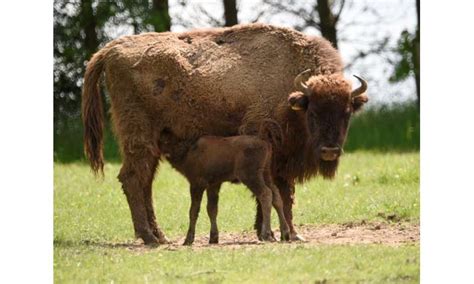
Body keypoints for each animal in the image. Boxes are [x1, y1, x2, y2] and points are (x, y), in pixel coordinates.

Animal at [158, 129, 288, 244]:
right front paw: (213, 238)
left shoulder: (197, 183)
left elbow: (194, 210)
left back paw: (266, 235)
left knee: (265, 194)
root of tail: (266, 144)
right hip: (266, 173)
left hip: (250, 175)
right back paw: (285, 233)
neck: (187, 151)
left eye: (165, 141)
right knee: (276, 195)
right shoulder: (214, 184)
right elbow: (212, 209)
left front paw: (188, 240)